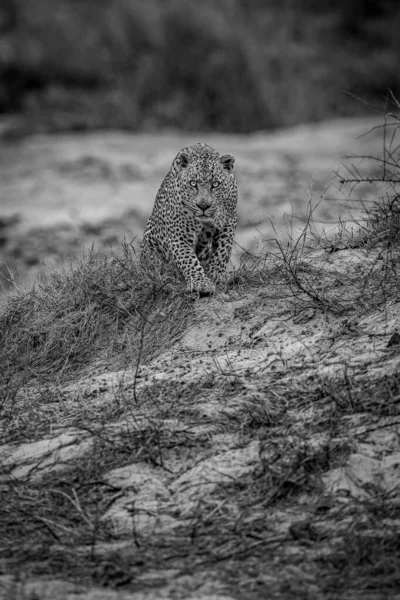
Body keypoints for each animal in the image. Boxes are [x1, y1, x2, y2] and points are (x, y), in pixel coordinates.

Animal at [141, 141, 238, 296]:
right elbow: (188, 259)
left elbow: (223, 250)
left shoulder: (229, 221)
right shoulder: (179, 235)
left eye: (215, 184)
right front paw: (201, 283)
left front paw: (215, 274)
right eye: (193, 183)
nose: (203, 205)